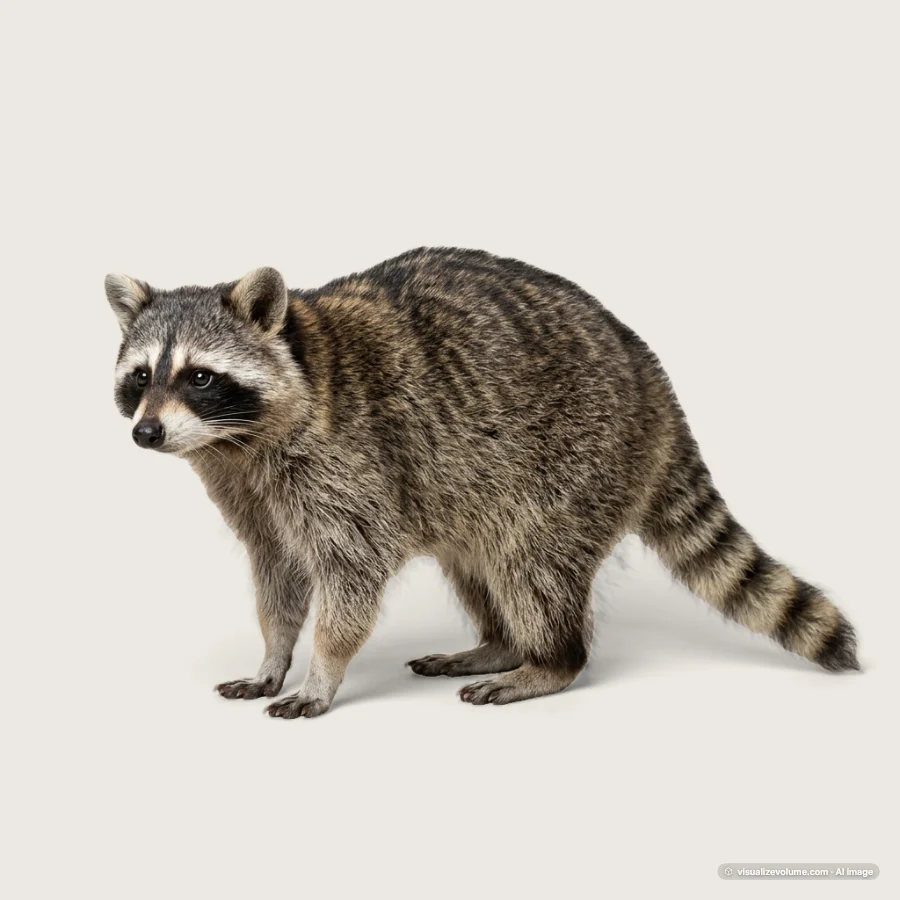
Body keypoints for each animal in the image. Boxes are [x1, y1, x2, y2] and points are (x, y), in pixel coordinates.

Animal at [106, 248, 859, 717]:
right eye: (141, 377)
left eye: (200, 377)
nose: (146, 433)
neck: (240, 442)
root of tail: (652, 380)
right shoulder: (254, 494)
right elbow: (279, 575)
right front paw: (273, 653)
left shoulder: (348, 462)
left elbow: (353, 574)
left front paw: (322, 668)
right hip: (476, 485)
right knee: (478, 561)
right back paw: (499, 641)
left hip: (577, 458)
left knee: (532, 564)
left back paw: (549, 660)